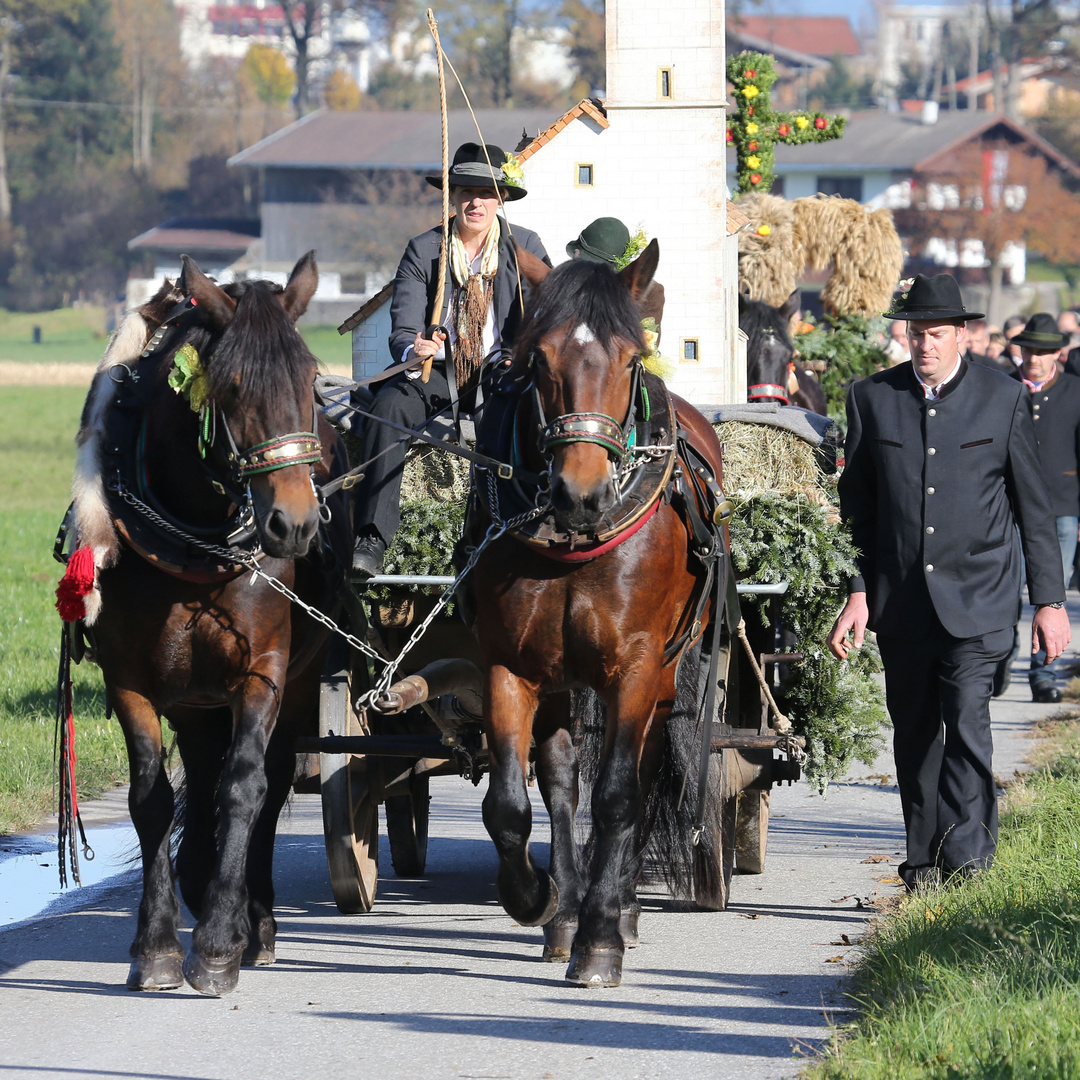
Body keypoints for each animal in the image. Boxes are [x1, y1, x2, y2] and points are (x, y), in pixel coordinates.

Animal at [79, 250, 349, 993]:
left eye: (309, 379)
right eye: (229, 387)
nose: (295, 524)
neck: (192, 542)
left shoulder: (264, 672)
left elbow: (244, 788)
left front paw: (225, 939)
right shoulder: (131, 680)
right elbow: (150, 799)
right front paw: (157, 944)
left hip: (292, 682)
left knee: (268, 781)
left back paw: (256, 917)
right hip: (194, 695)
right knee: (199, 773)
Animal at [470, 243, 730, 989]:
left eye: (630, 358)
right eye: (538, 358)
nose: (578, 492)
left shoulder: (635, 669)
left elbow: (618, 795)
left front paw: (600, 940)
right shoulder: (509, 665)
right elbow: (509, 803)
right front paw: (537, 898)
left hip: (667, 677)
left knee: (639, 776)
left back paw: (617, 911)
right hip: (562, 680)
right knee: (560, 781)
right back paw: (563, 914)